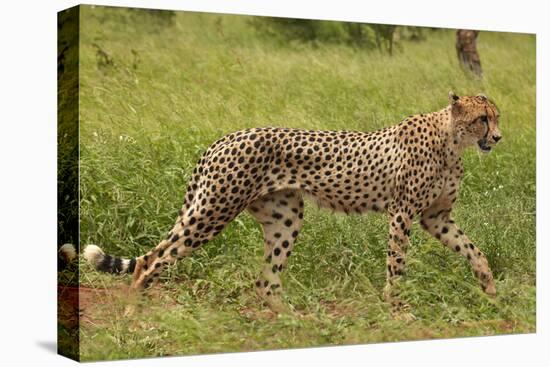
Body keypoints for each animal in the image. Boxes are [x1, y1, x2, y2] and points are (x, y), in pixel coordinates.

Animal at [85, 92, 504, 316]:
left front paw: (491, 292)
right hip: (214, 209)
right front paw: (399, 310)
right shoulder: (401, 213)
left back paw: (299, 321)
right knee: (151, 261)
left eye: (497, 117)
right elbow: (397, 265)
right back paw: (133, 313)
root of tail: (224, 138)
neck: (451, 140)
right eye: (482, 119)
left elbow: (474, 250)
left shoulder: (437, 217)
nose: (498, 137)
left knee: (265, 282)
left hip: (284, 218)